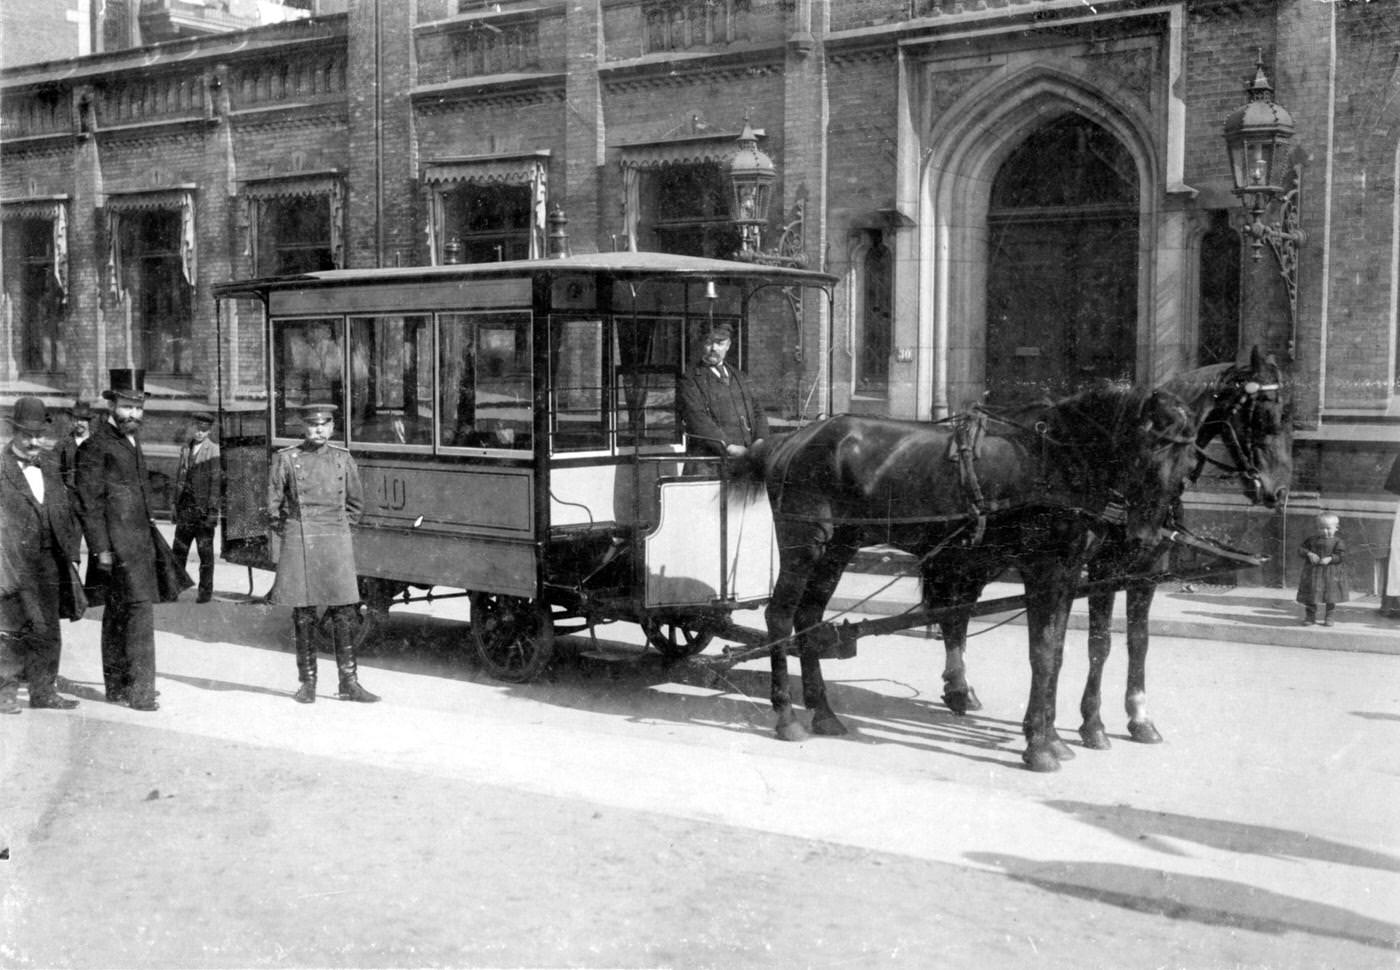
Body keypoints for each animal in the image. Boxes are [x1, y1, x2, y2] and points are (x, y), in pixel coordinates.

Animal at [750, 383, 1198, 767]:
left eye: (1187, 461)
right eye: (1149, 445)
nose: (1145, 537)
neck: (1058, 459)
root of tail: (792, 439)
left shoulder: (1069, 573)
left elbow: (1056, 653)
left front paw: (1052, 737)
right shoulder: (1044, 570)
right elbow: (1042, 653)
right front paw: (1040, 746)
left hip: (839, 548)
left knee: (809, 618)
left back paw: (824, 712)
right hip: (804, 543)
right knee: (779, 616)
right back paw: (787, 716)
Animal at [935, 345, 1293, 750]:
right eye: (1264, 415)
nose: (1280, 491)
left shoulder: (1149, 570)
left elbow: (1138, 641)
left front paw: (1139, 717)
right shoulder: (1104, 569)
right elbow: (1100, 643)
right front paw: (1092, 723)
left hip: (981, 557)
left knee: (959, 610)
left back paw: (961, 689)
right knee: (955, 611)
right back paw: (960, 687)